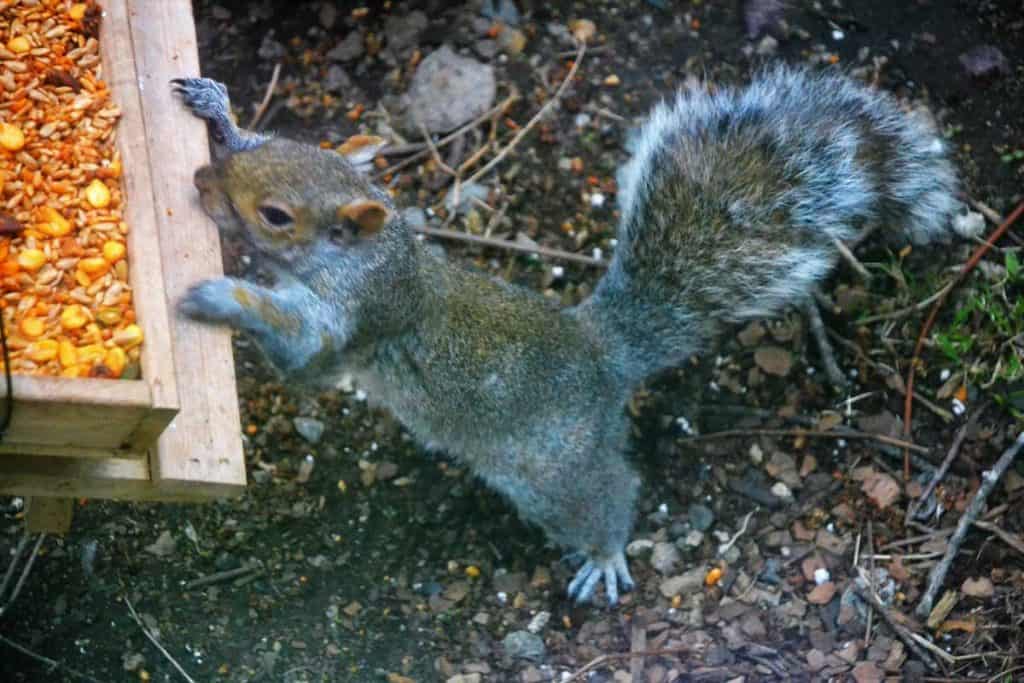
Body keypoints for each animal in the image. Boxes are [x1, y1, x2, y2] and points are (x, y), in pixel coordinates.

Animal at [169, 63, 958, 606]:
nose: (203, 180)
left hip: (554, 471)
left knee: (610, 491)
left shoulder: (356, 318)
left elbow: (299, 349)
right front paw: (217, 108)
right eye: (273, 144)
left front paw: (221, 296)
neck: (368, 252)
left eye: (275, 214)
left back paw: (605, 554)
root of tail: (603, 356)